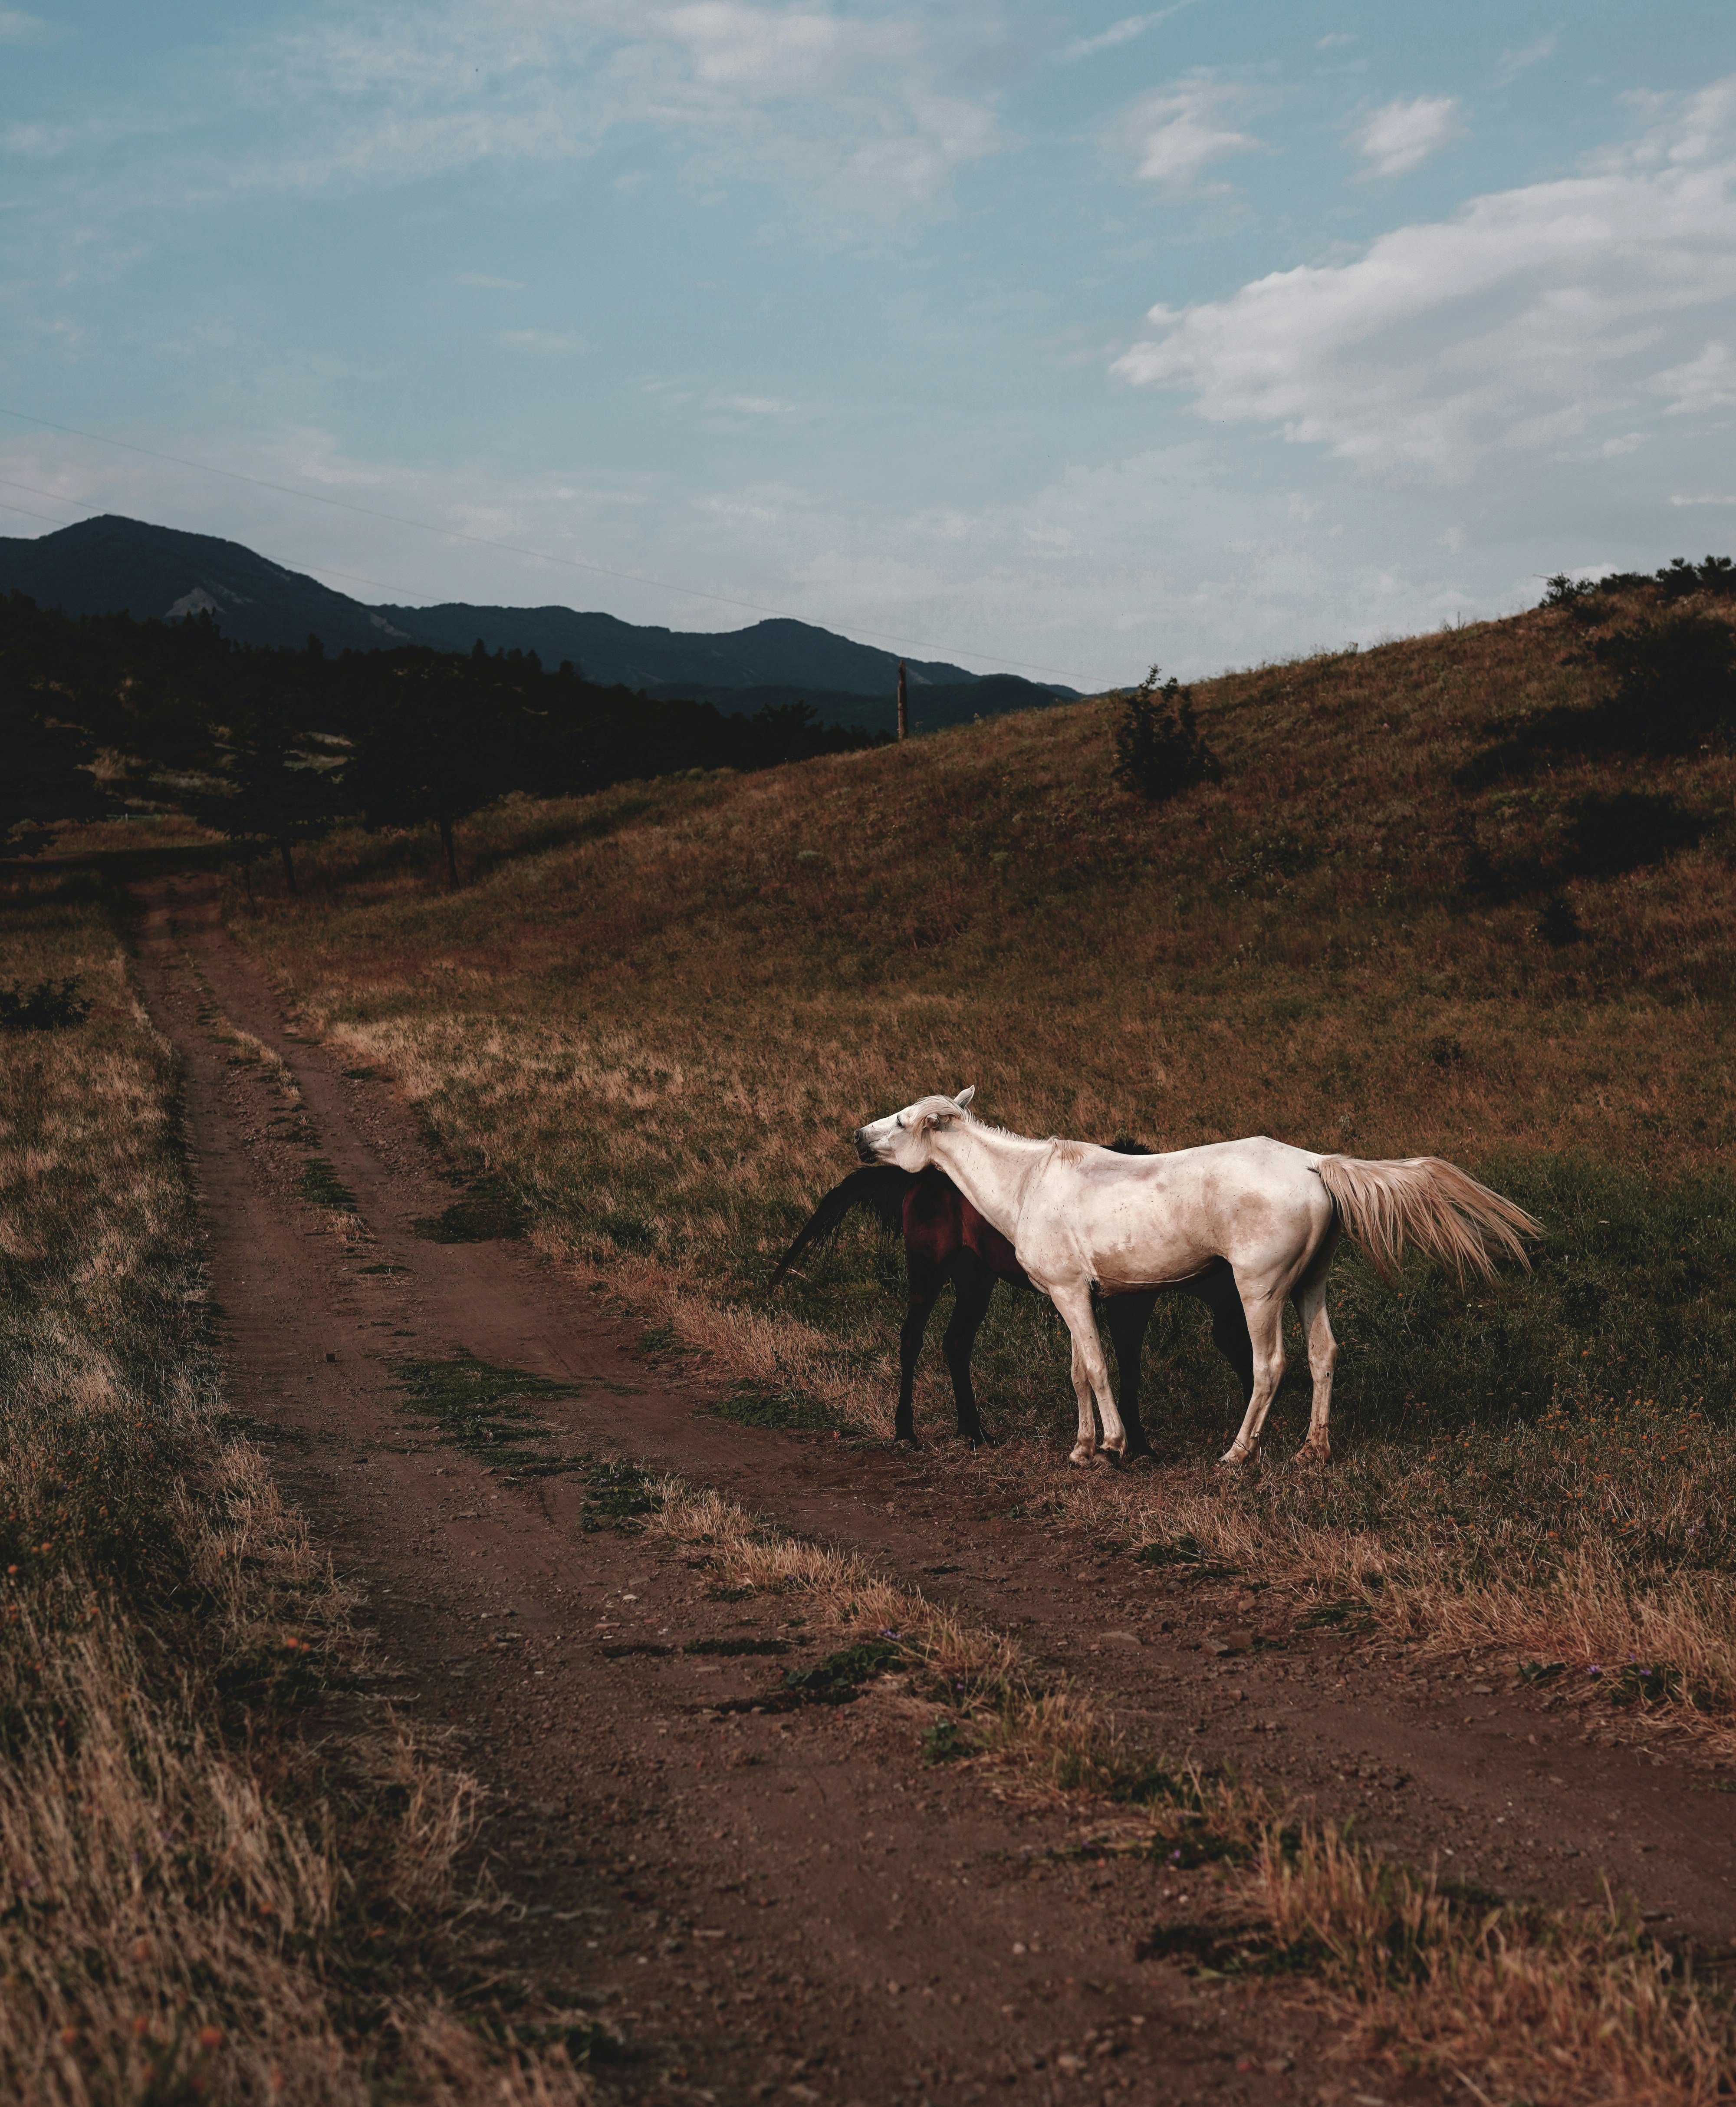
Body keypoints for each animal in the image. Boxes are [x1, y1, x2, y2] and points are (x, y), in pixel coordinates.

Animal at [768, 1152, 1257, 1453]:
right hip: (929, 1268)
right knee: (912, 1337)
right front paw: (1135, 1444)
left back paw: (974, 1431)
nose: (1259, 1386)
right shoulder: (1127, 1302)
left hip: (975, 1278)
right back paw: (906, 1430)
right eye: (1245, 1334)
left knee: (955, 1343)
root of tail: (920, 1176)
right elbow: (1126, 1366)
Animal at [853, 1089, 1539, 1467]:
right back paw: (1312, 1450)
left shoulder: (1074, 1294)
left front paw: (1112, 1447)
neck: (1030, 1185)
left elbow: (1096, 1368)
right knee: (1324, 1355)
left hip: (1261, 1290)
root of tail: (1315, 1164)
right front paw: (1081, 1448)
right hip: (1310, 1285)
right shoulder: (1070, 1296)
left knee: (1270, 1366)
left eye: (904, 1120)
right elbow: (1078, 1372)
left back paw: (1238, 1453)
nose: (858, 1136)